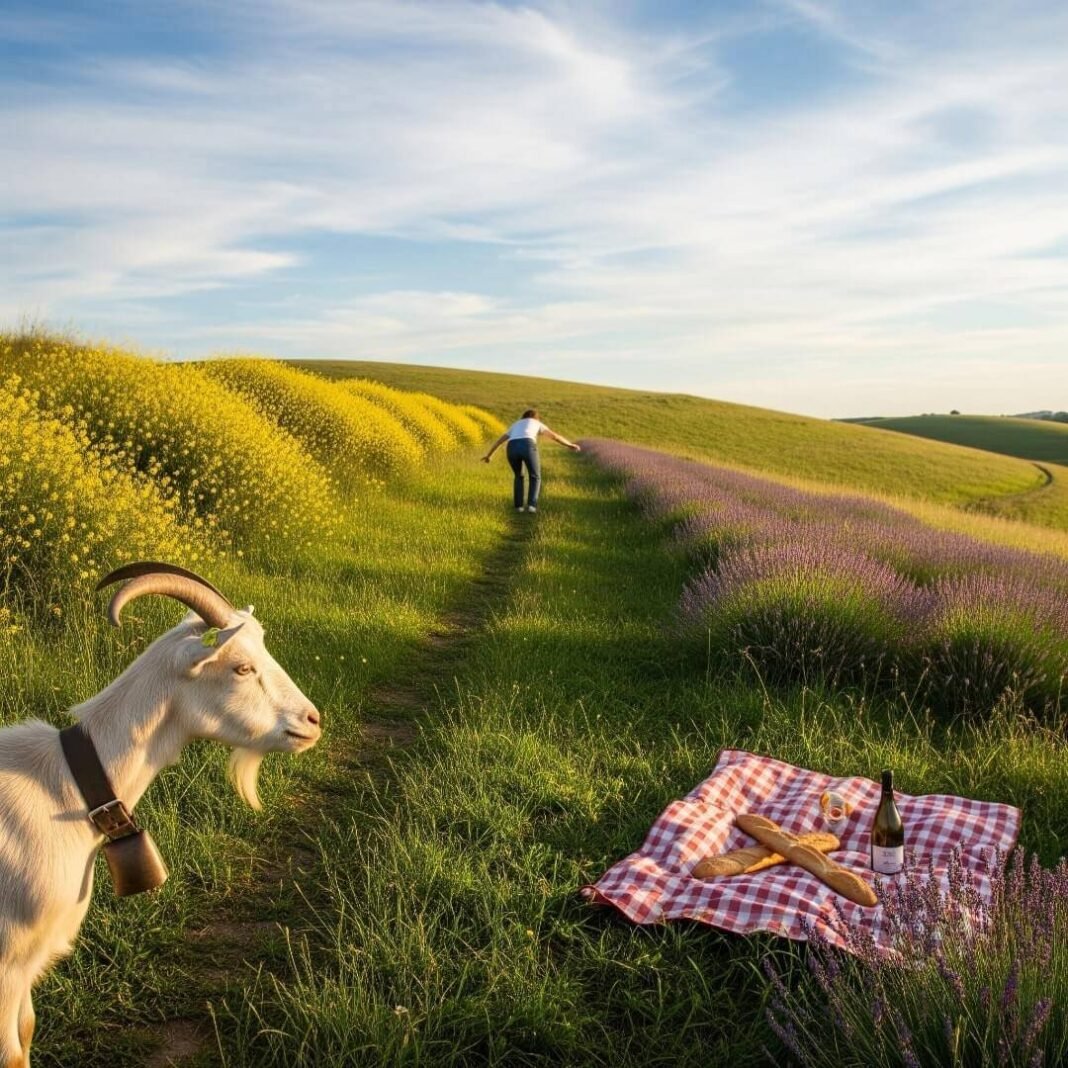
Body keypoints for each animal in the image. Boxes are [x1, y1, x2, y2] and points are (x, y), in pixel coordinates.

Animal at [0, 563, 321, 1067]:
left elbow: (28, 1030)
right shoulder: (7, 963)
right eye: (241, 667)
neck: (66, 787)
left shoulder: (31, 958)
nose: (313, 721)